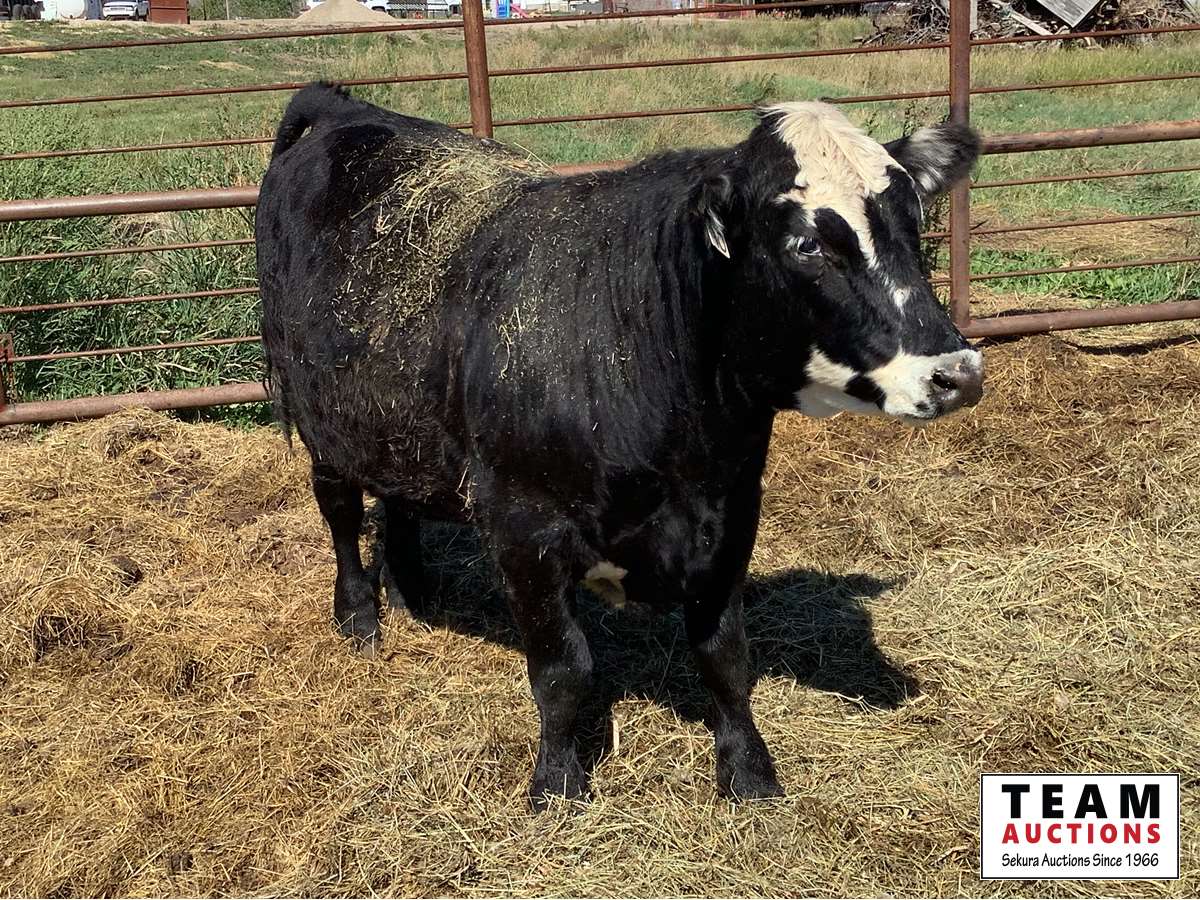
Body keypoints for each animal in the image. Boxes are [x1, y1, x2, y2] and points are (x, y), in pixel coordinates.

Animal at [256, 82, 983, 808]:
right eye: (807, 243)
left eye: (912, 222)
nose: (957, 373)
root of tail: (345, 106)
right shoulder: (522, 529)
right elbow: (562, 668)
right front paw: (556, 783)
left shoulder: (730, 513)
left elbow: (724, 655)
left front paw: (749, 772)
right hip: (318, 414)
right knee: (340, 509)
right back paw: (359, 615)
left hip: (397, 420)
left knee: (399, 500)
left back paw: (414, 592)